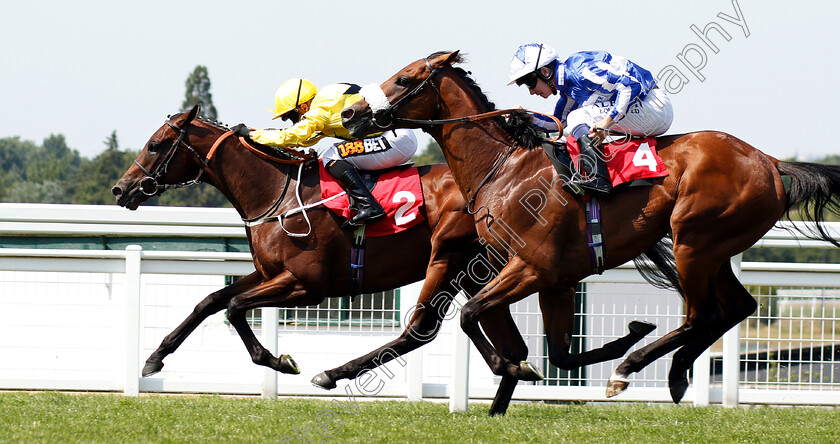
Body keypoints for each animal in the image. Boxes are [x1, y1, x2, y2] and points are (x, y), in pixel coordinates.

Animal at [113, 105, 664, 416]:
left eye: (157, 145)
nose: (122, 189)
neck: (276, 192)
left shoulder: (306, 282)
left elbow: (232, 309)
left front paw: (279, 360)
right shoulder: (271, 273)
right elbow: (210, 300)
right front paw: (154, 358)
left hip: (463, 262)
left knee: (433, 329)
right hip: (481, 271)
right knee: (498, 336)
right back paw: (508, 387)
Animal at [338, 51, 840, 402]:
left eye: (404, 79)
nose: (348, 114)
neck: (506, 169)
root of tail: (770, 162)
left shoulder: (533, 267)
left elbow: (469, 314)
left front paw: (516, 367)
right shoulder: (556, 279)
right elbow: (558, 352)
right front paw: (527, 365)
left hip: (694, 242)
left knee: (703, 314)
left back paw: (634, 370)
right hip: (714, 249)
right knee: (736, 307)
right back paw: (674, 374)